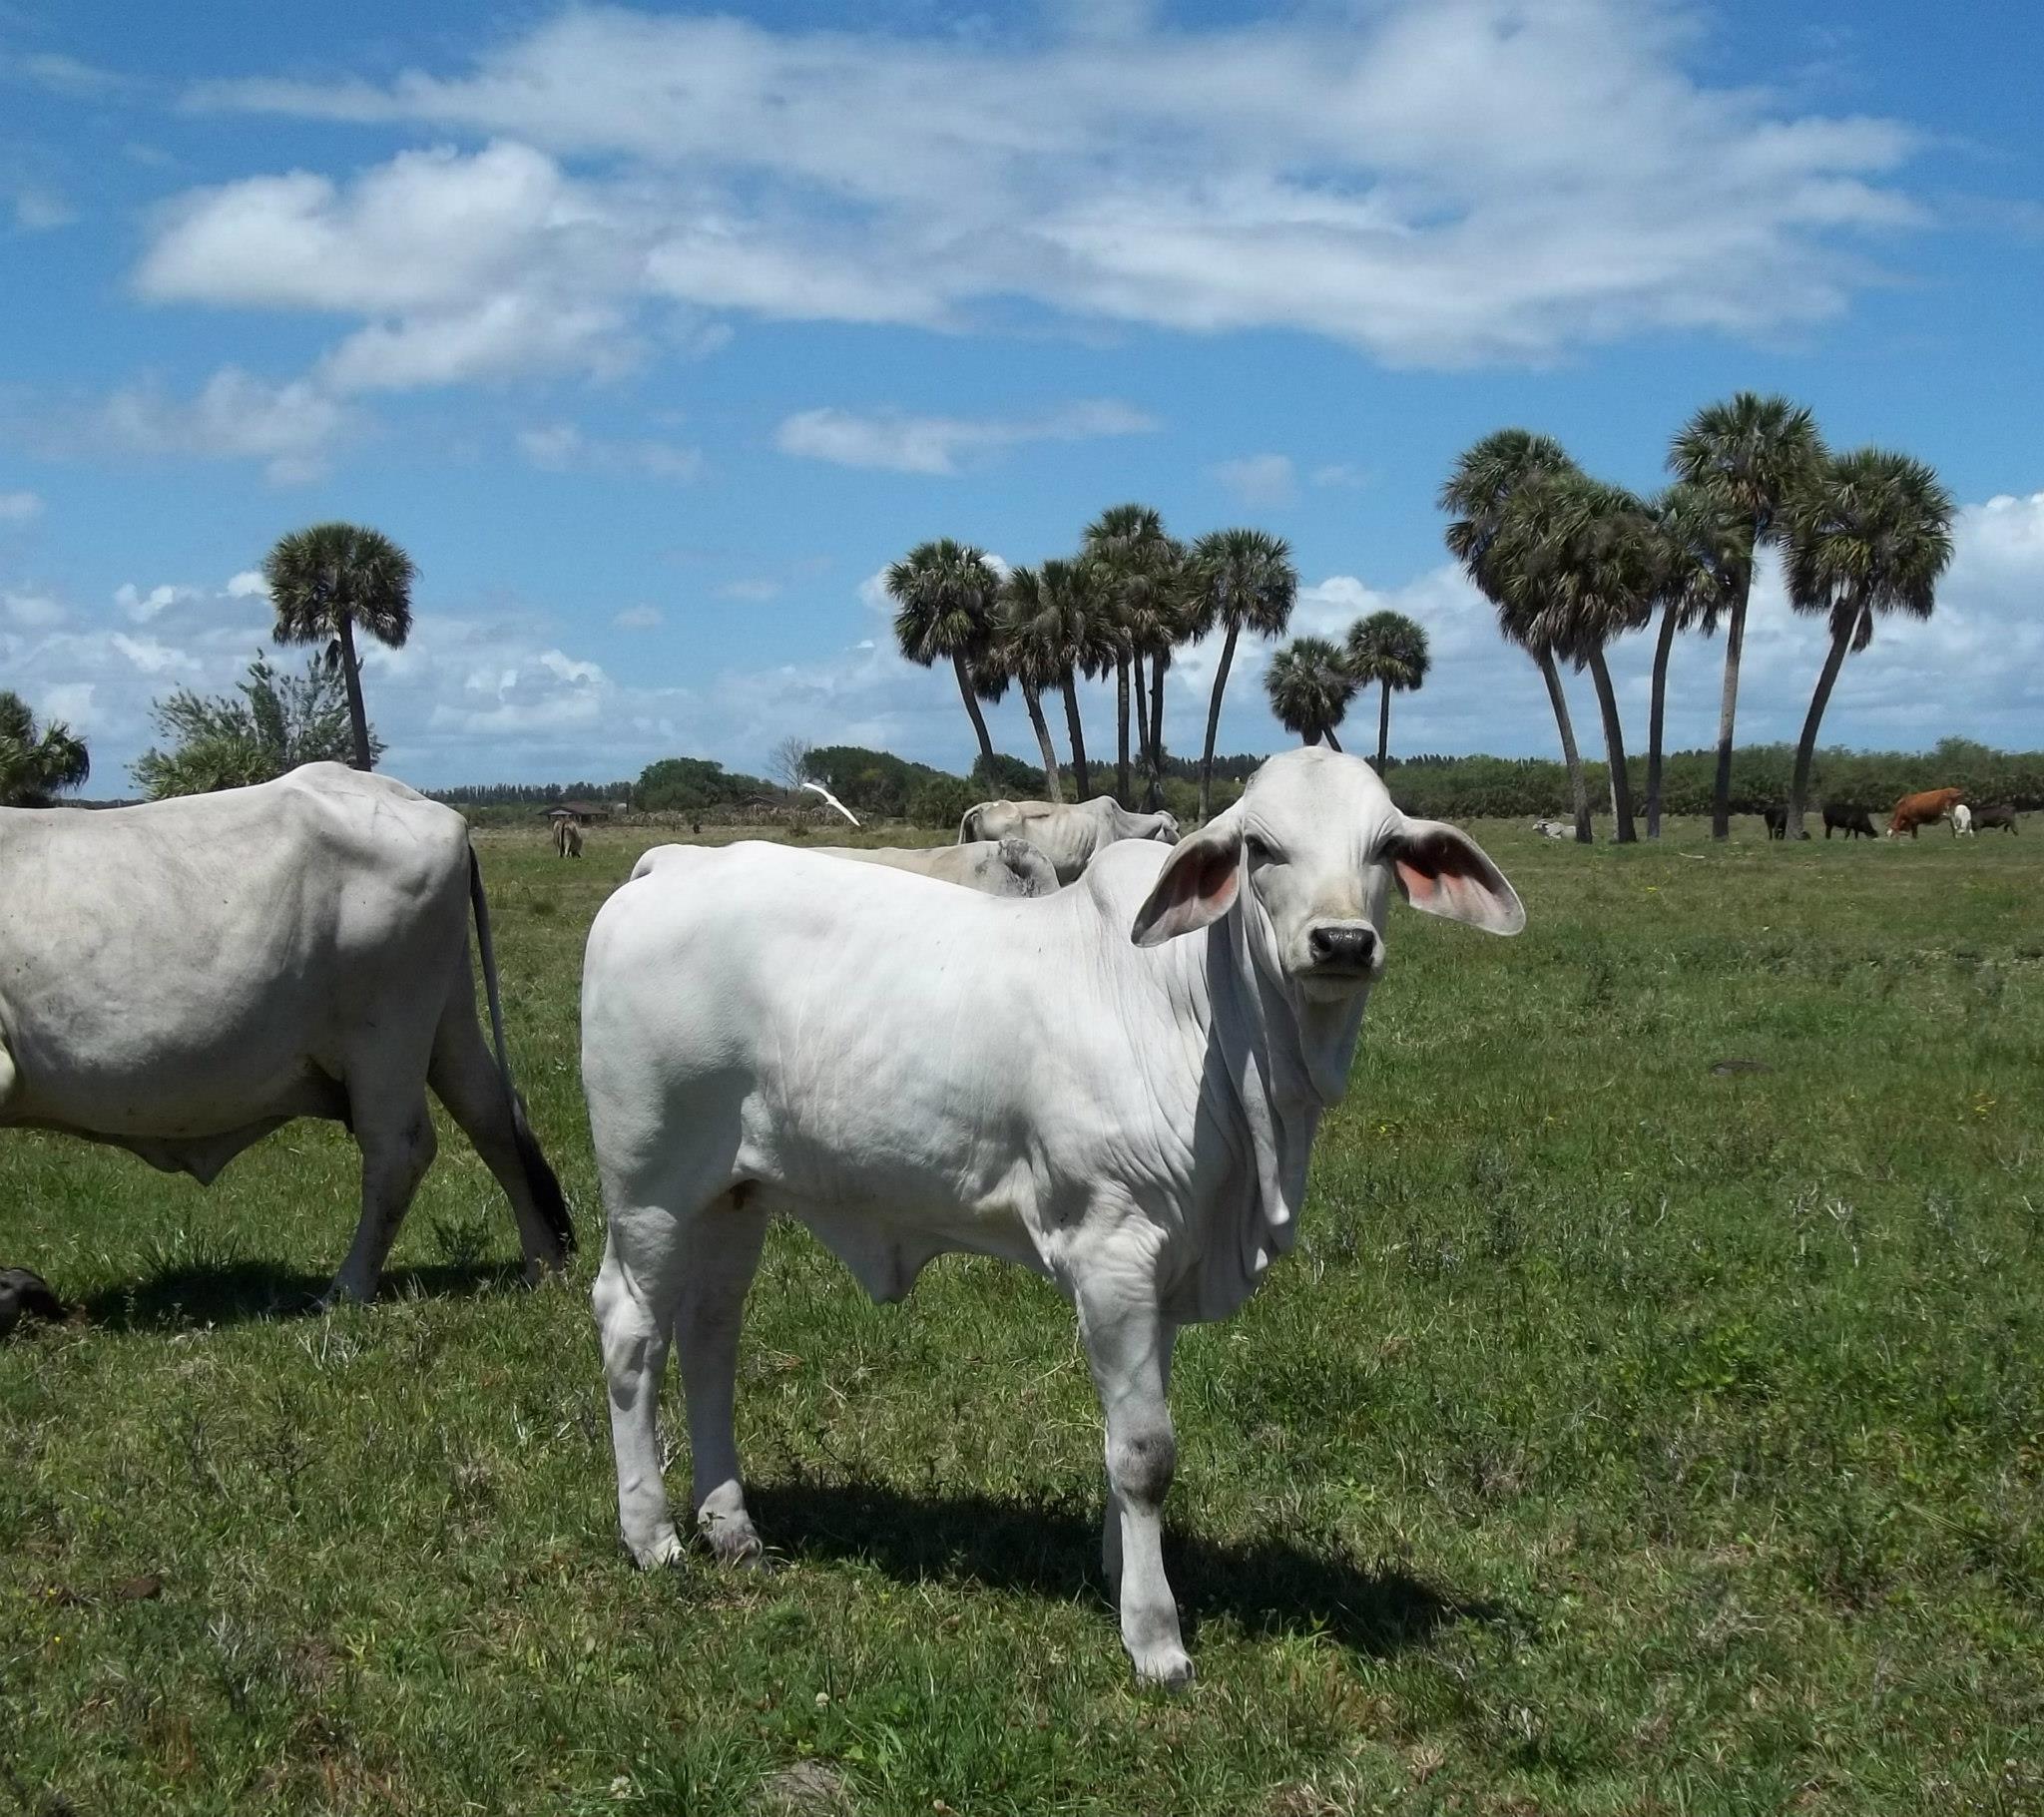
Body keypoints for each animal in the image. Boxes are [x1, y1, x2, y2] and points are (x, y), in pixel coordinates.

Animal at [0, 764, 572, 1304]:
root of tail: (428, 807)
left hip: (385, 1038)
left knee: (399, 1151)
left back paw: (347, 1289)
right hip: (447, 1019)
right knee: (493, 1117)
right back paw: (543, 1265)